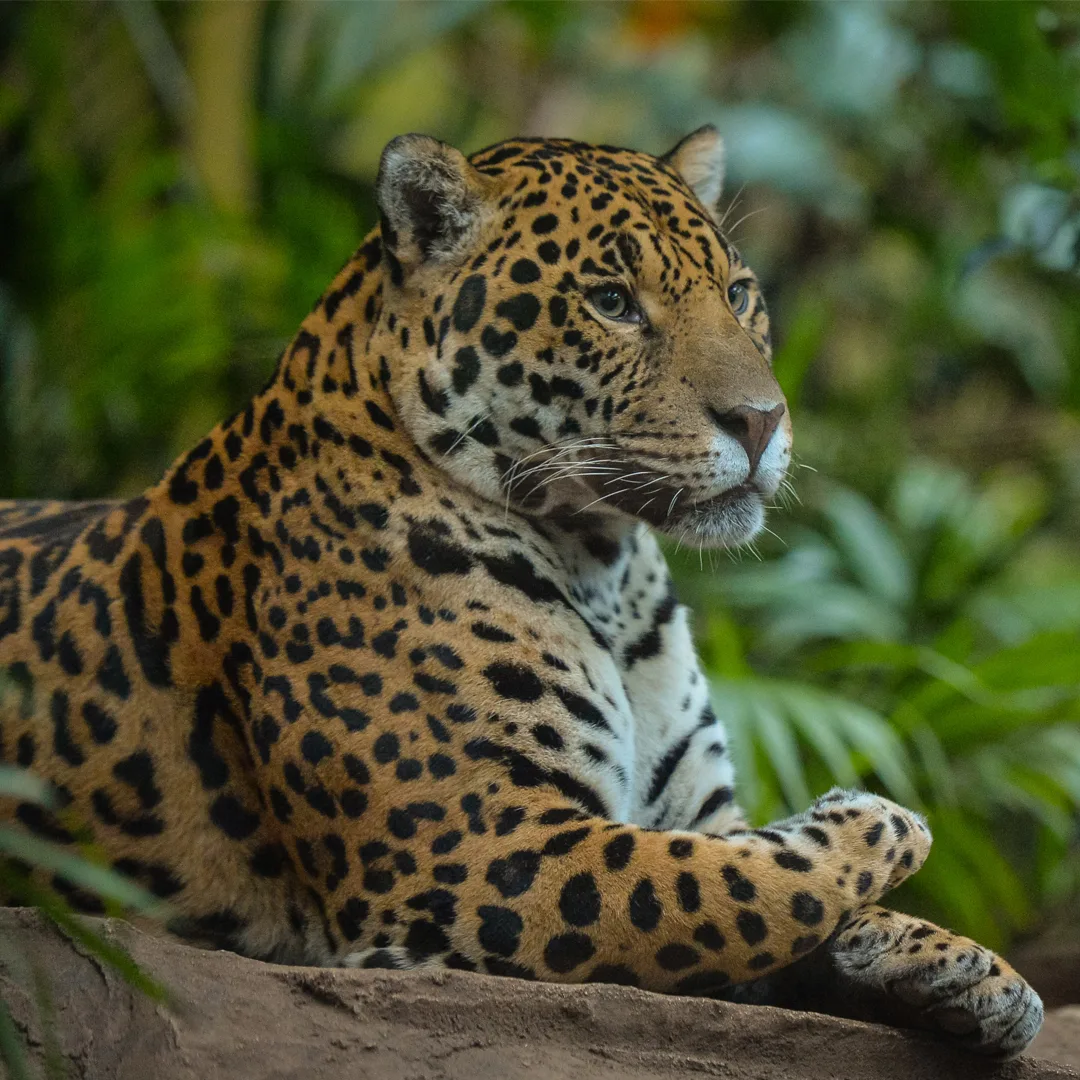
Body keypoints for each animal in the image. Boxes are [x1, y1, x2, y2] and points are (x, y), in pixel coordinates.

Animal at [0, 126, 1042, 1057]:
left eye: (740, 295)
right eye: (613, 301)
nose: (760, 421)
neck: (606, 564)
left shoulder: (691, 815)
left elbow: (766, 881)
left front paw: (969, 973)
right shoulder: (485, 851)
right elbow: (739, 892)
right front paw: (877, 816)